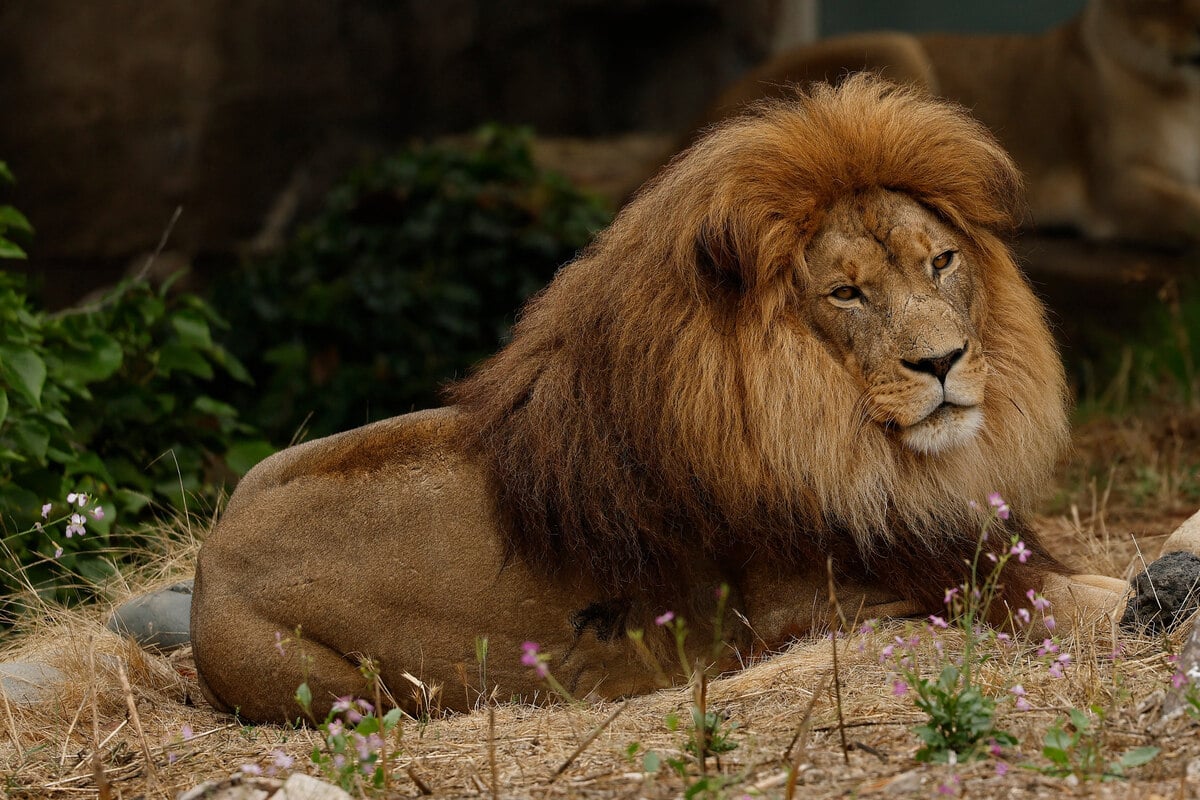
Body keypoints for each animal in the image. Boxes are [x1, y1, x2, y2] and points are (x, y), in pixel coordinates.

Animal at [190, 76, 1200, 724]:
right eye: (847, 293)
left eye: (941, 261)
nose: (944, 360)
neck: (856, 448)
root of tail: (207, 563)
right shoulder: (869, 605)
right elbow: (1081, 610)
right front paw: (1156, 597)